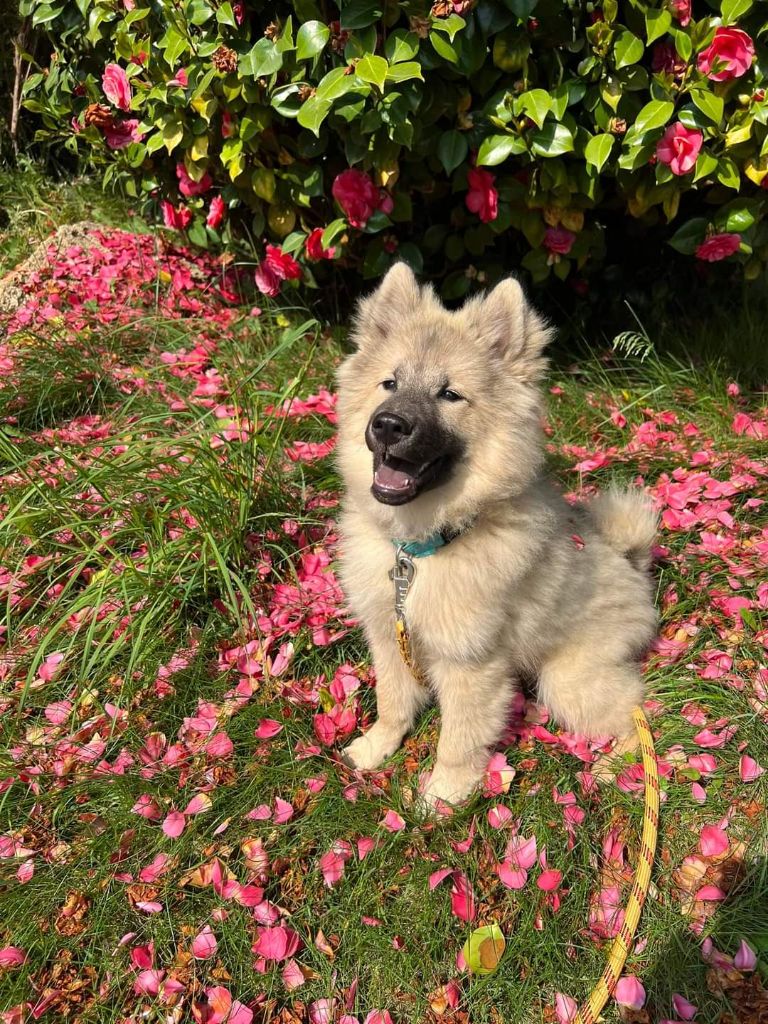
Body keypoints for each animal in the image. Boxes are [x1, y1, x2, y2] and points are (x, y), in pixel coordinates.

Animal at [335, 264, 655, 806]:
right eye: (389, 383)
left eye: (449, 395)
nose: (389, 425)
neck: (422, 549)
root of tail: (630, 560)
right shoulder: (389, 636)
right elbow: (392, 701)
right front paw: (378, 746)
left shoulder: (471, 666)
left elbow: (458, 738)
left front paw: (443, 795)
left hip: (567, 679)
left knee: (637, 712)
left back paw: (615, 766)